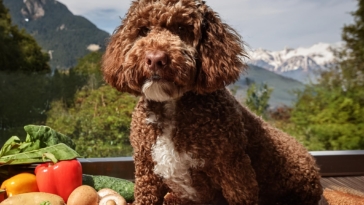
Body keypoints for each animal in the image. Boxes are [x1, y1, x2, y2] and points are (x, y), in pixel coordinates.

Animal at [101, 0, 322, 203]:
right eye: (143, 31)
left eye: (181, 28)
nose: (155, 59)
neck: (171, 104)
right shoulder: (147, 171)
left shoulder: (235, 170)